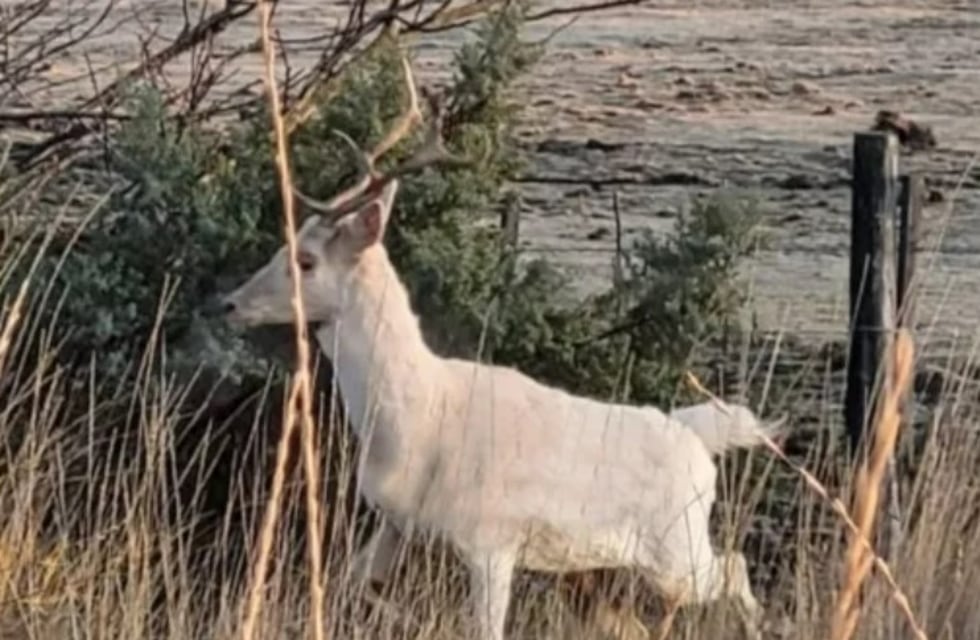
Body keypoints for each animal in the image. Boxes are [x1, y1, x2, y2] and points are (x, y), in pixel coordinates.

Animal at [220, 54, 781, 640]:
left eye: (306, 260)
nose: (231, 303)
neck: (415, 423)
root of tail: (699, 438)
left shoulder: (490, 541)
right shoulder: (396, 522)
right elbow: (350, 584)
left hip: (677, 548)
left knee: (735, 567)